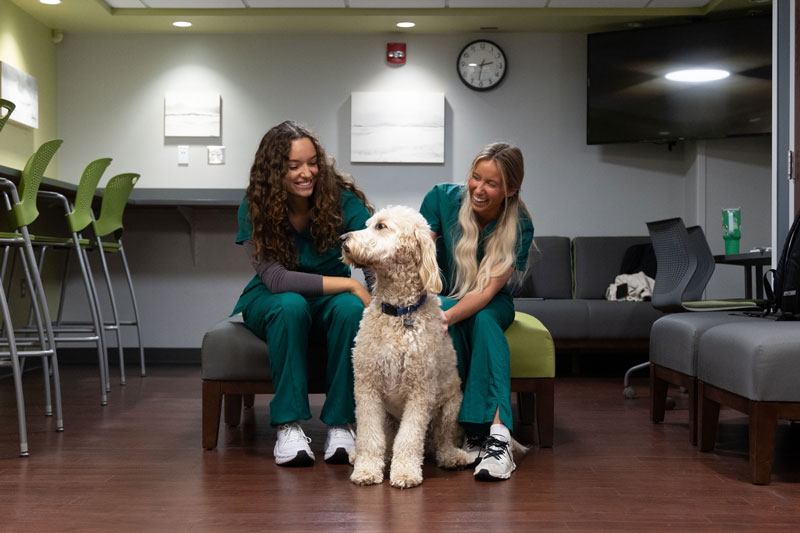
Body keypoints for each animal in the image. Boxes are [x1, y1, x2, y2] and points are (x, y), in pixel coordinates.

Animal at [340, 206, 472, 488]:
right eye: (367, 224)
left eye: (380, 226)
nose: (343, 238)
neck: (397, 312)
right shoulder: (367, 387)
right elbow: (370, 436)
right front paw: (367, 469)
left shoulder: (420, 392)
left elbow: (409, 438)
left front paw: (405, 473)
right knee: (387, 442)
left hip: (451, 406)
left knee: (441, 441)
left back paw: (453, 457)